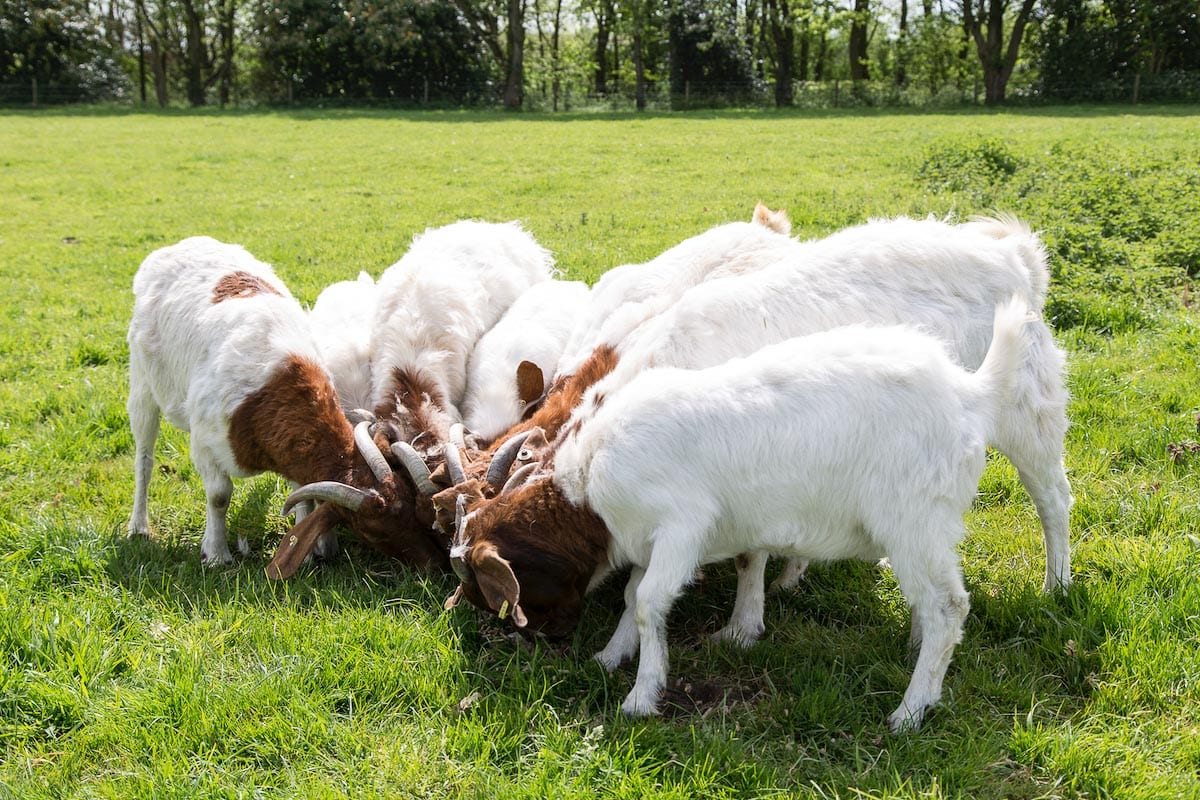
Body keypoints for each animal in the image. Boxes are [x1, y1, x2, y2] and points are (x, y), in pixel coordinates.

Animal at [451, 296, 1032, 734]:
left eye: (495, 591)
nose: (545, 641)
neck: (588, 486)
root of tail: (969, 395)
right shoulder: (644, 542)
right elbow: (631, 597)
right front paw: (610, 657)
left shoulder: (682, 527)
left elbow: (649, 602)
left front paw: (641, 695)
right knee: (933, 603)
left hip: (913, 521)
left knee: (949, 606)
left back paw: (911, 710)